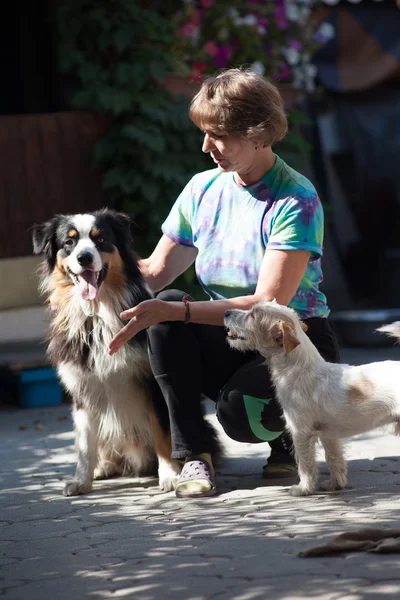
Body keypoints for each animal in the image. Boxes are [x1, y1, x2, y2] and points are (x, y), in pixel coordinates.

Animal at [32, 211, 181, 496]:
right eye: (69, 243)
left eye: (100, 239)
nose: (84, 258)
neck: (96, 314)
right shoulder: (82, 389)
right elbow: (85, 444)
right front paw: (81, 481)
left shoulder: (151, 382)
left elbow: (161, 431)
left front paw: (169, 475)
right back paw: (103, 468)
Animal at [225, 302, 400, 500]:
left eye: (253, 315)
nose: (226, 312)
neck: (300, 369)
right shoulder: (329, 435)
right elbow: (334, 459)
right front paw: (335, 485)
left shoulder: (300, 431)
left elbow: (305, 464)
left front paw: (303, 489)